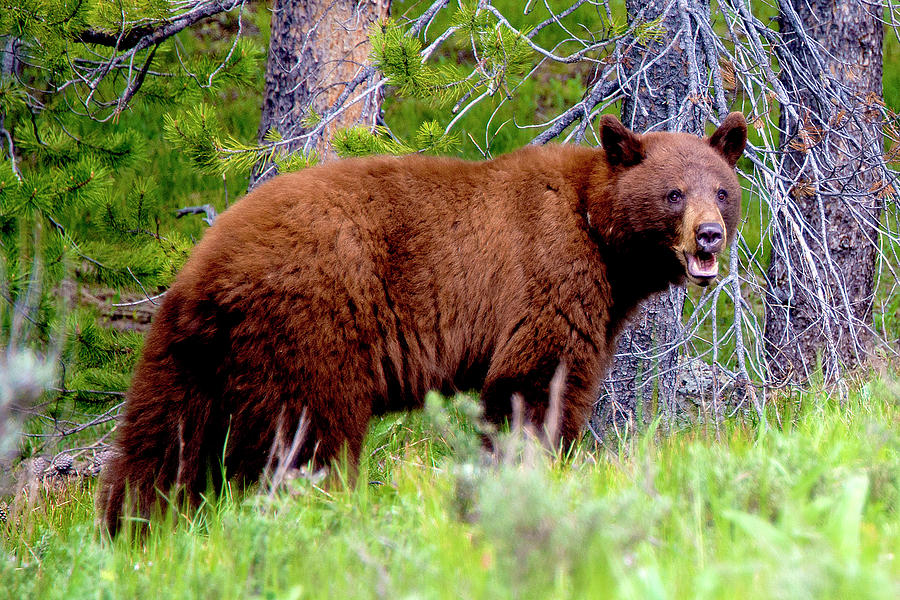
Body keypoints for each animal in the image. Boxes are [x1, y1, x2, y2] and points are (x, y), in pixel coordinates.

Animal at [96, 110, 744, 532]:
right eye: (673, 194)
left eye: (721, 190)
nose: (709, 236)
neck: (599, 235)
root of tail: (208, 265)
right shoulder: (549, 276)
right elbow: (535, 387)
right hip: (309, 328)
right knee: (308, 438)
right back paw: (326, 518)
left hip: (186, 352)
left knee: (158, 441)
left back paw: (131, 532)